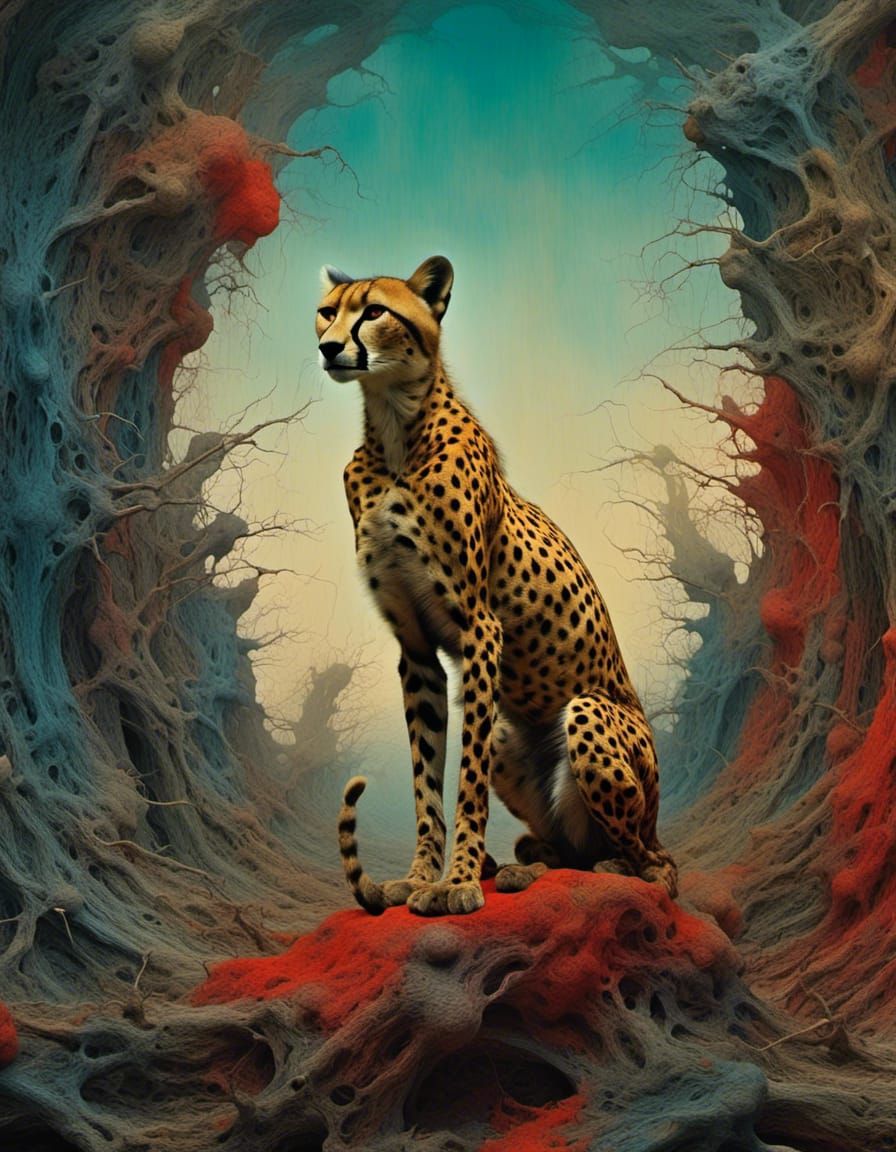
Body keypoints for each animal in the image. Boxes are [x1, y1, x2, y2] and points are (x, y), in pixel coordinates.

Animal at [315, 255, 677, 916]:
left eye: (374, 311)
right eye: (327, 312)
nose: (329, 347)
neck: (394, 429)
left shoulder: (480, 630)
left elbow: (467, 778)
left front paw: (457, 882)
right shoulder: (416, 650)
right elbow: (426, 780)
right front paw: (422, 877)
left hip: (589, 714)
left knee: (653, 866)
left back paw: (608, 867)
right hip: (518, 736)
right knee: (568, 851)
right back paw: (521, 868)